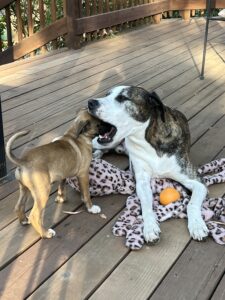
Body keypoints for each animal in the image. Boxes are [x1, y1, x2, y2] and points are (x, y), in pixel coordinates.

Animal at [6, 109, 101, 238]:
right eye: (99, 125)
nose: (112, 128)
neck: (76, 136)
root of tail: (23, 161)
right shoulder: (83, 174)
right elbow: (86, 194)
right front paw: (91, 208)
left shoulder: (62, 174)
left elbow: (62, 186)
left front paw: (60, 198)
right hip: (42, 192)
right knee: (35, 216)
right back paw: (46, 233)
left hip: (24, 189)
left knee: (18, 206)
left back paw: (24, 221)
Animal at [88, 85, 209, 244]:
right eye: (107, 94)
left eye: (122, 98)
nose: (90, 102)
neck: (147, 139)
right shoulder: (142, 182)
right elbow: (146, 205)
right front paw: (150, 227)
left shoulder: (197, 181)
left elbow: (192, 204)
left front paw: (197, 225)